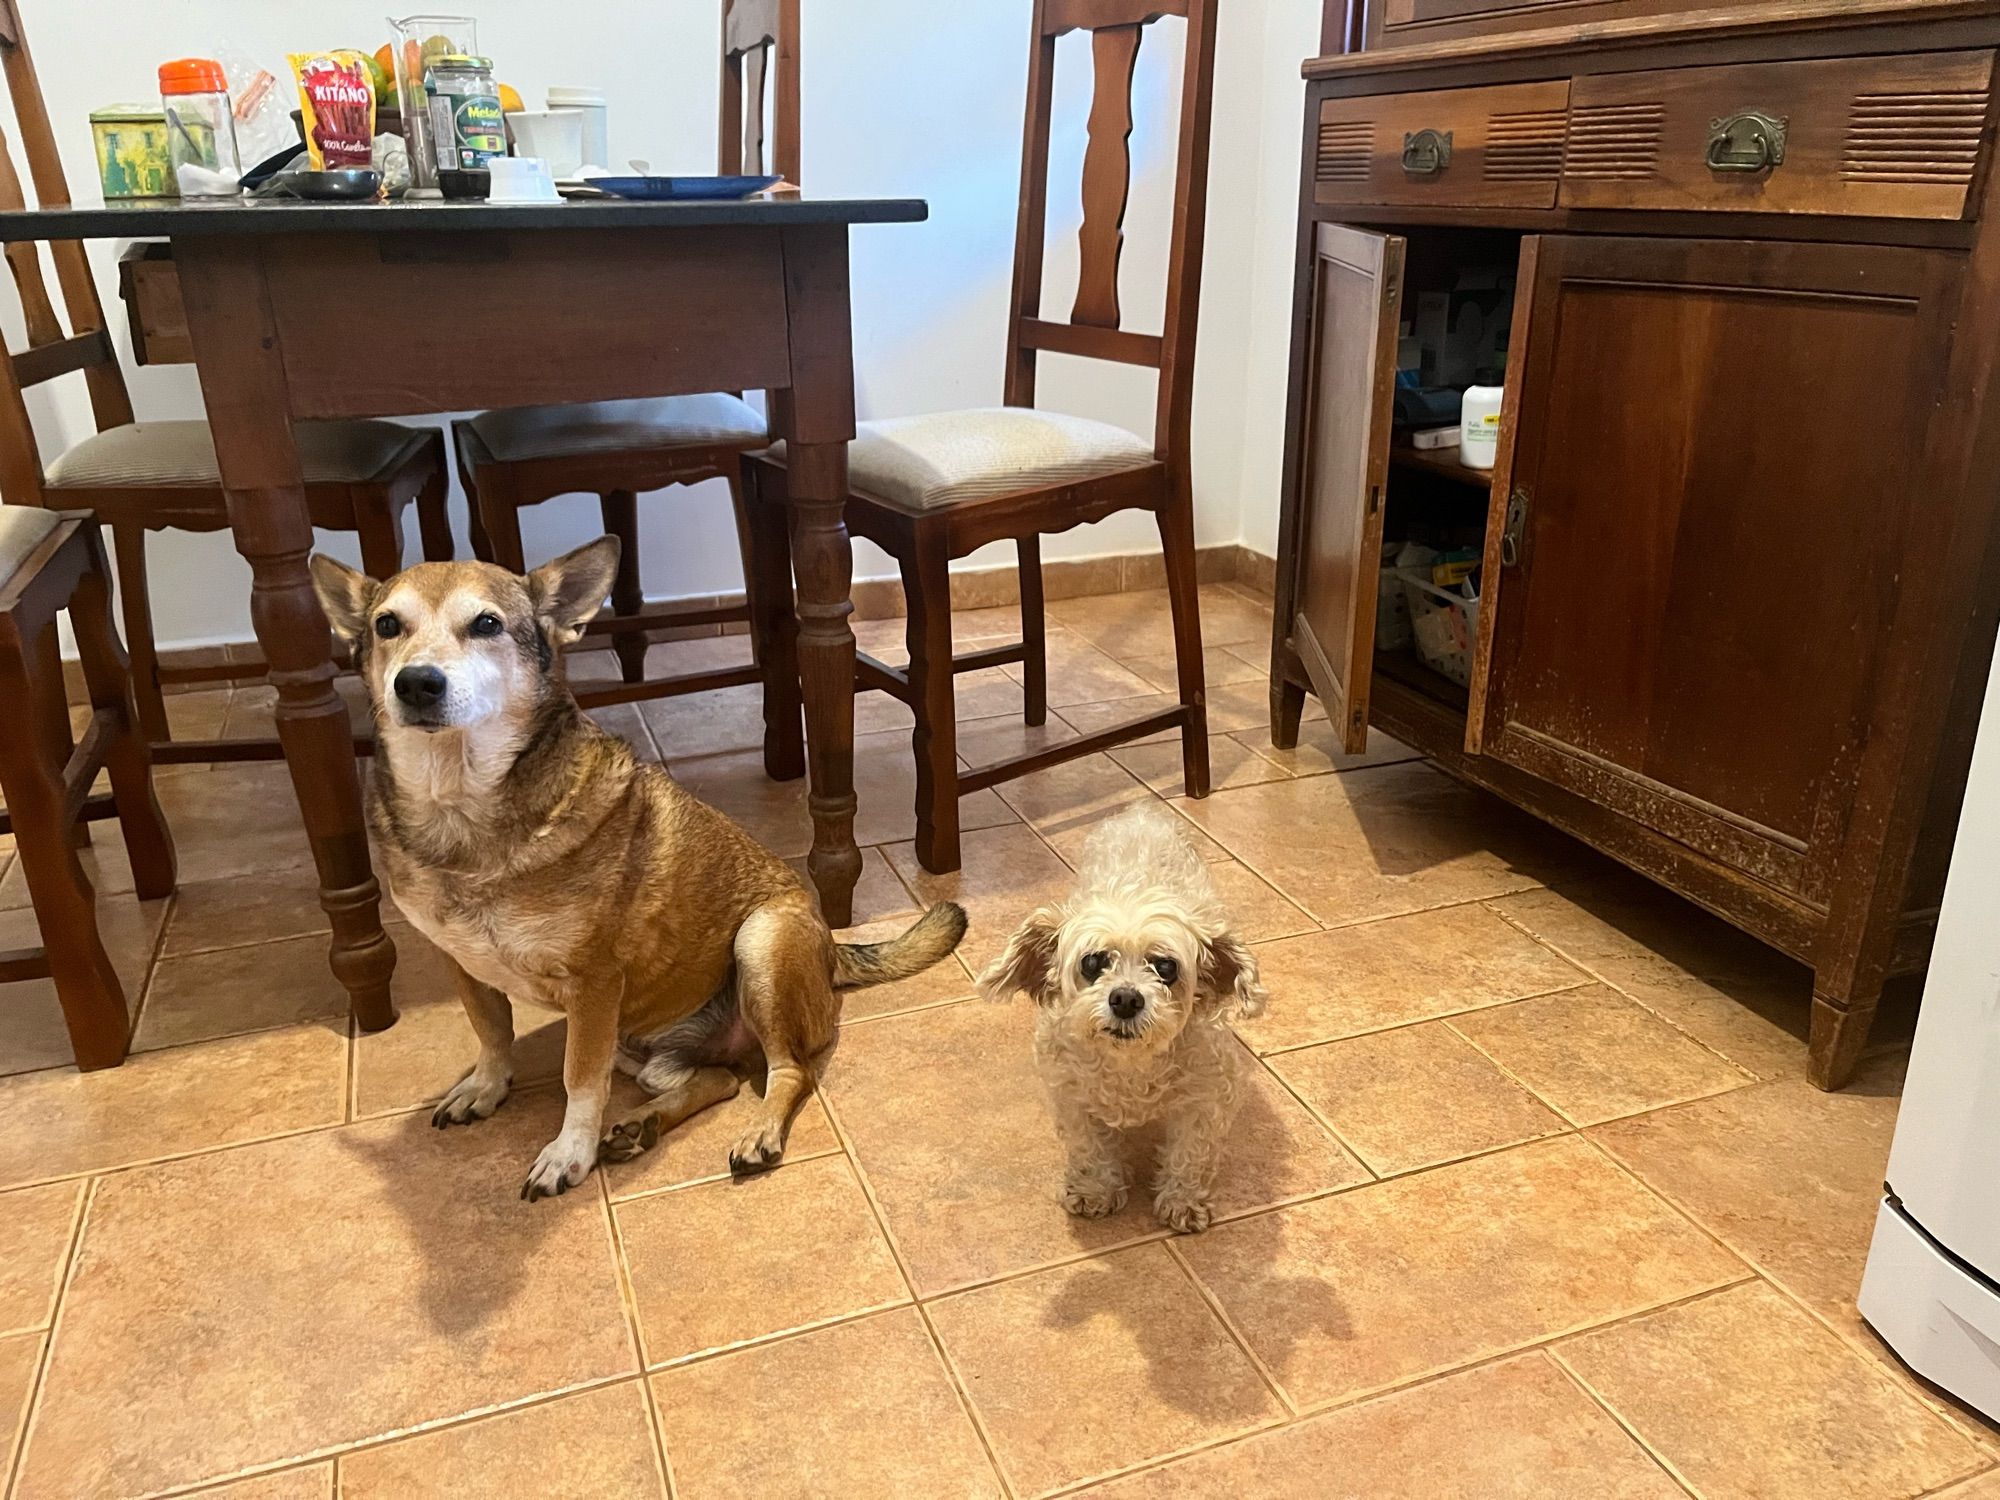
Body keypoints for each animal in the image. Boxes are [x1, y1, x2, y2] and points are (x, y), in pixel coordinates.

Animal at [312, 536, 968, 1200]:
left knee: (791, 1072)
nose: (417, 683)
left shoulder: (593, 985)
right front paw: (485, 1088)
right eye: (387, 625)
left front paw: (566, 1155)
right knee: (717, 1079)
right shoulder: (464, 964)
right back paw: (639, 1126)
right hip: (645, 1047)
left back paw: (757, 1134)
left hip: (760, 945)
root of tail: (834, 949)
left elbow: (578, 1080)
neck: (460, 804)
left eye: (487, 624)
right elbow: (491, 1032)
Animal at [980, 812, 1264, 1232]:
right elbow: (1088, 1147)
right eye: (1092, 962)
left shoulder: (1207, 1095)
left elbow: (1190, 1152)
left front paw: (1182, 1200)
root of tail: (1142, 811)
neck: (1129, 1065)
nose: (1126, 998)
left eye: (1166, 967)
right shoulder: (1070, 1094)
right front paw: (1095, 1190)